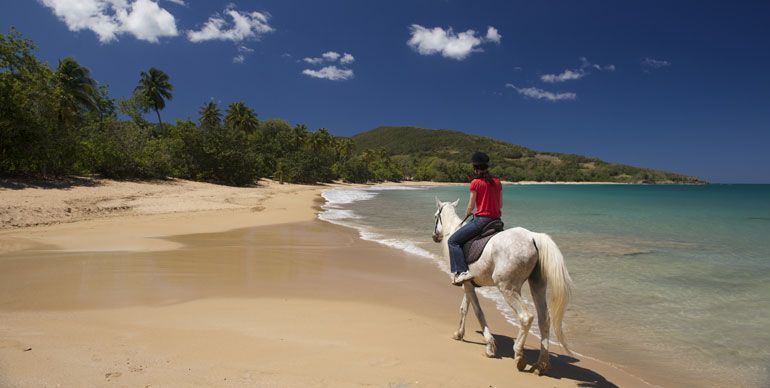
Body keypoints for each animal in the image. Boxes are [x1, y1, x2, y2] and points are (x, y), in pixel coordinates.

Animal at [432, 199, 568, 374]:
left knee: (526, 317)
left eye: (436, 216)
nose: (435, 236)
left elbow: (478, 312)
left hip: (507, 288)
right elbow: (464, 308)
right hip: (537, 285)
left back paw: (519, 355)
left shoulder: (467, 285)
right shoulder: (468, 284)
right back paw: (541, 363)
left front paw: (490, 346)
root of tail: (532, 237)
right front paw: (459, 333)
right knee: (544, 319)